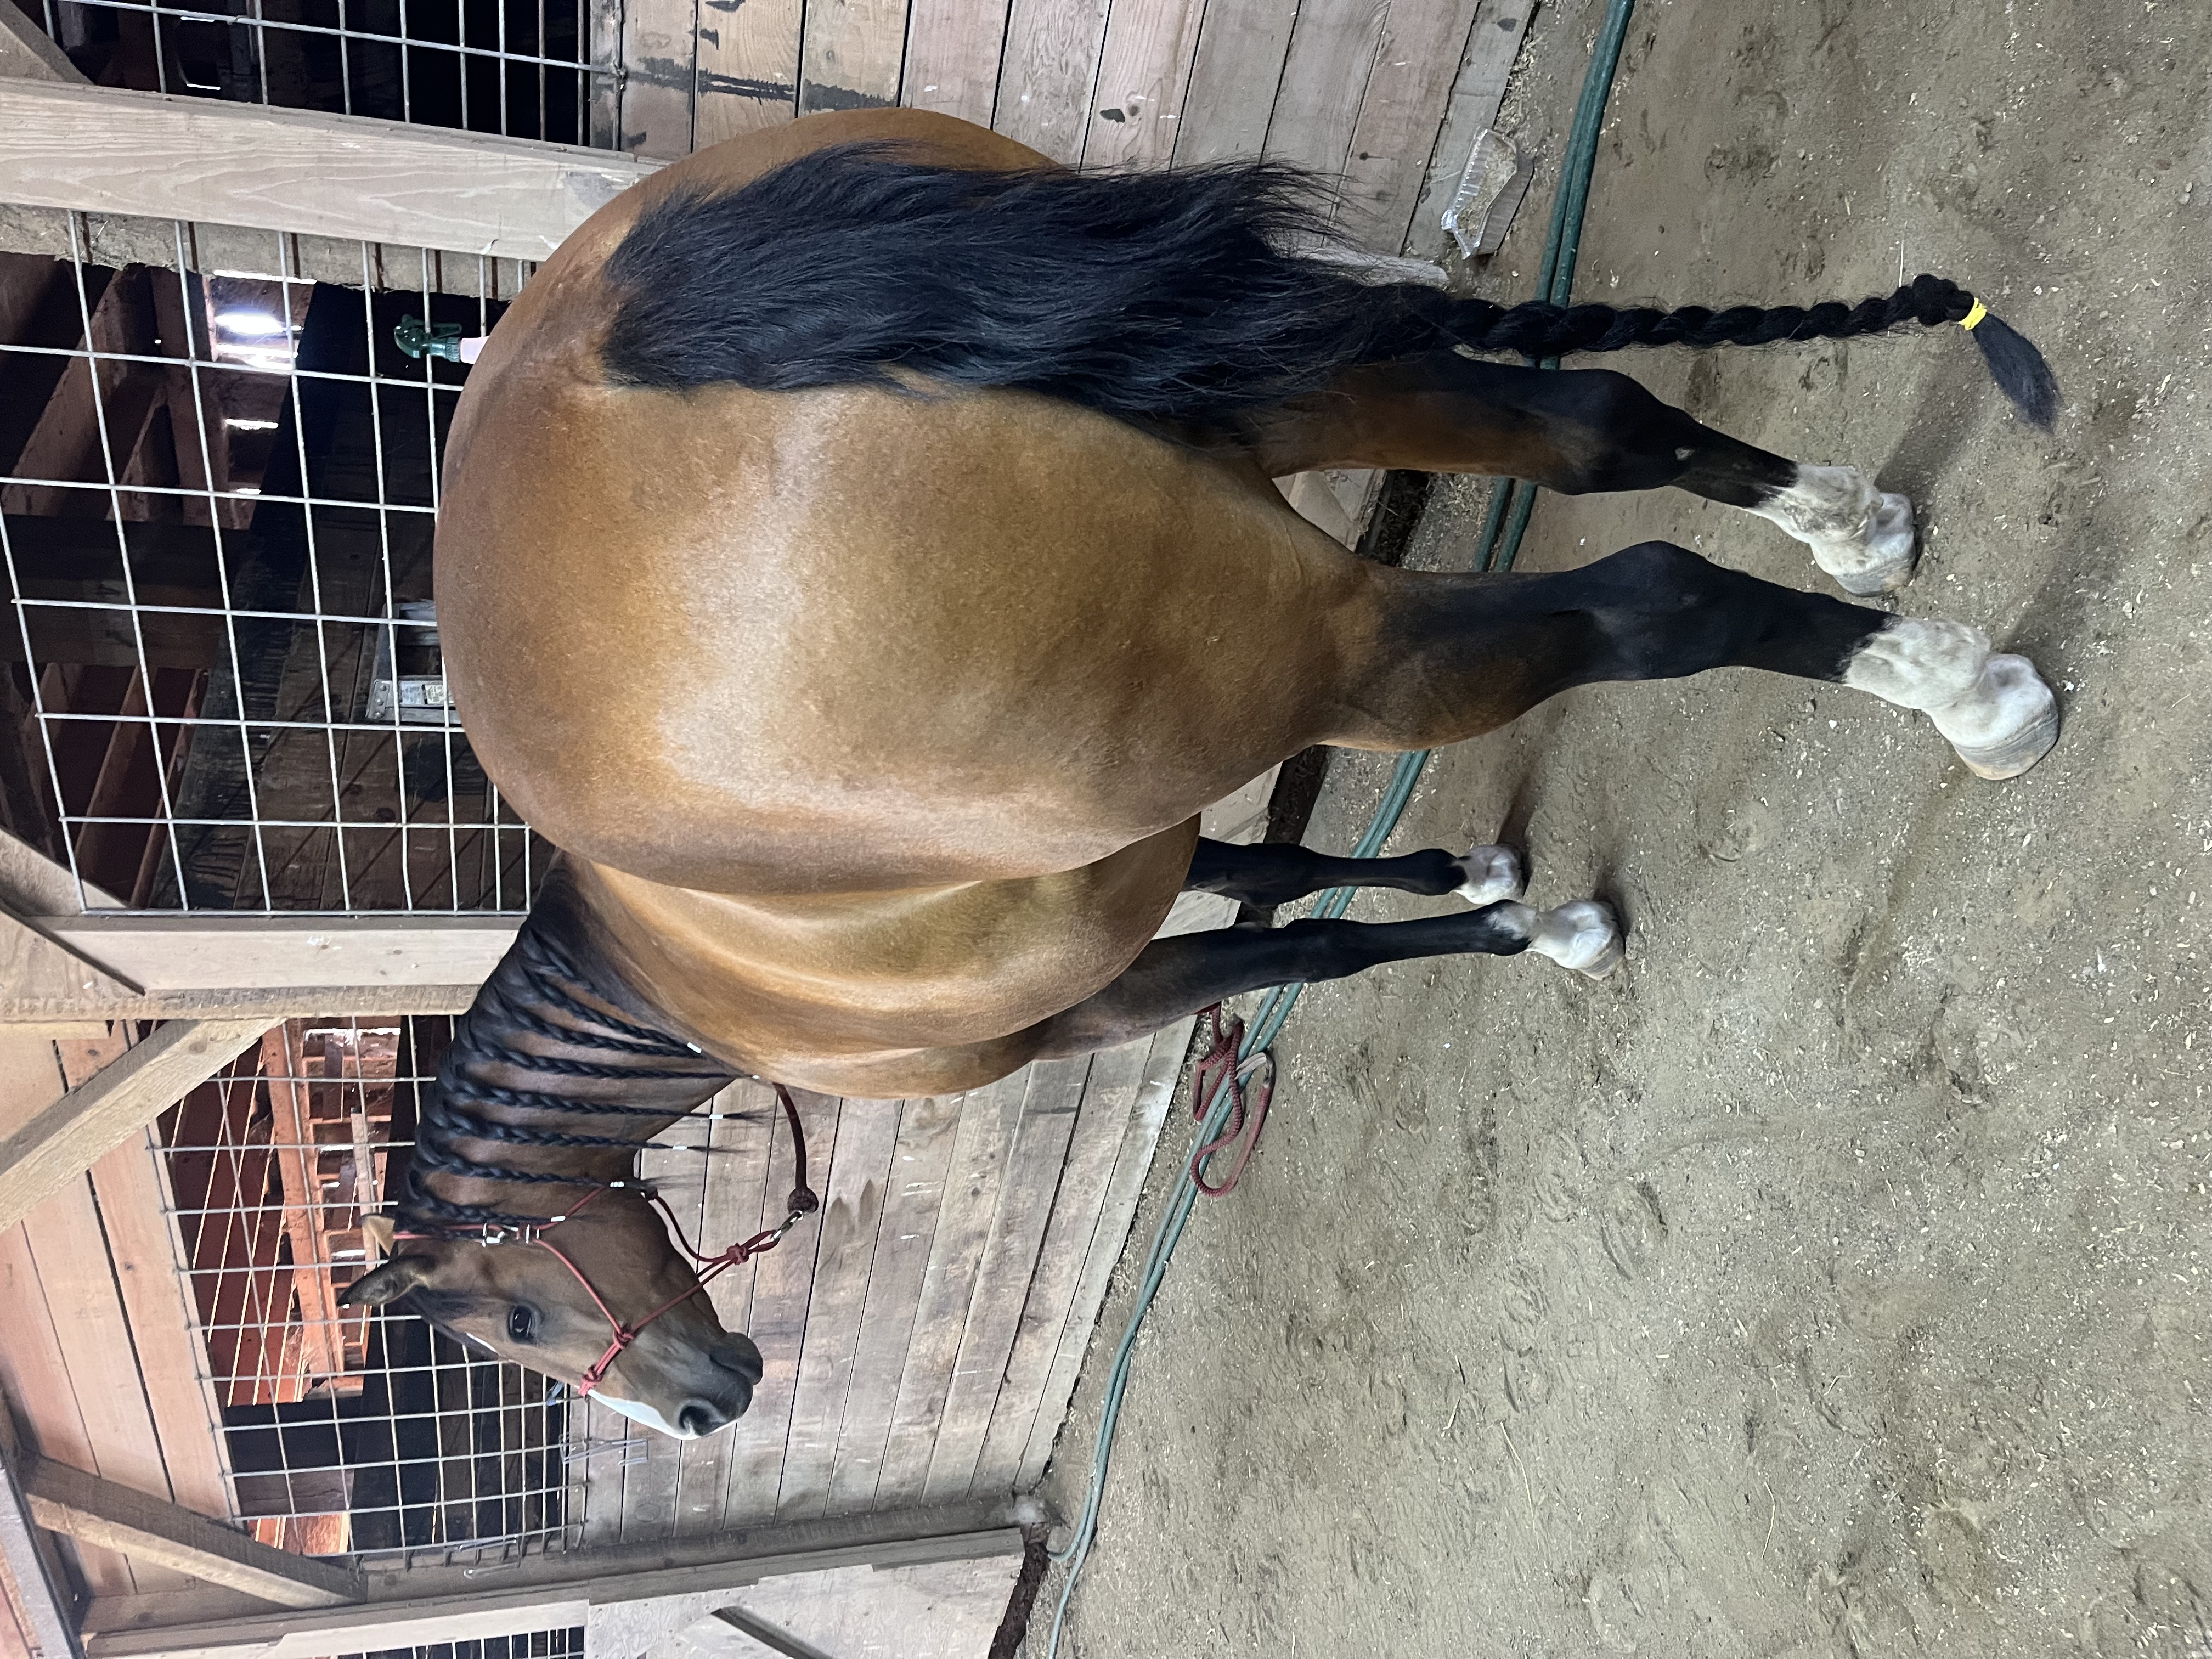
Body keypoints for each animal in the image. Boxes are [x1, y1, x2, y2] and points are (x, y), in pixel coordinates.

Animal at [337, 108, 2061, 1443]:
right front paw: (1490, 887)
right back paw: (1854, 532)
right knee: (1599, 428)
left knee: (1646, 600)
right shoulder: (1148, 851)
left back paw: (1959, 694)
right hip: (1293, 393)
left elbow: (1304, 945)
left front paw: (1528, 928)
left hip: (1331, 649)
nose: (709, 1405)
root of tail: (610, 346)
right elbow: (1290, 881)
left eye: (515, 1325)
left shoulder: (1090, 1007)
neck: (676, 977)